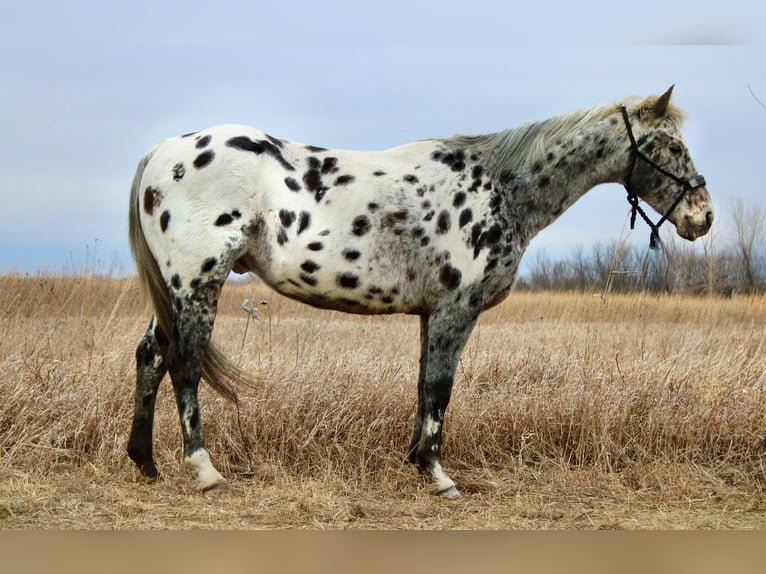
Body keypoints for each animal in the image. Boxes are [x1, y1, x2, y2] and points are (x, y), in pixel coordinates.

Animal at [130, 86, 712, 500]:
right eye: (671, 145)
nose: (702, 217)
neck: (500, 189)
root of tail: (164, 152)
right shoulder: (458, 310)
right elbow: (439, 389)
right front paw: (439, 476)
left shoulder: (432, 313)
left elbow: (422, 387)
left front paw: (418, 461)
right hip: (197, 283)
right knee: (183, 365)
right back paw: (205, 471)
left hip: (175, 292)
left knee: (151, 357)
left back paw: (145, 462)